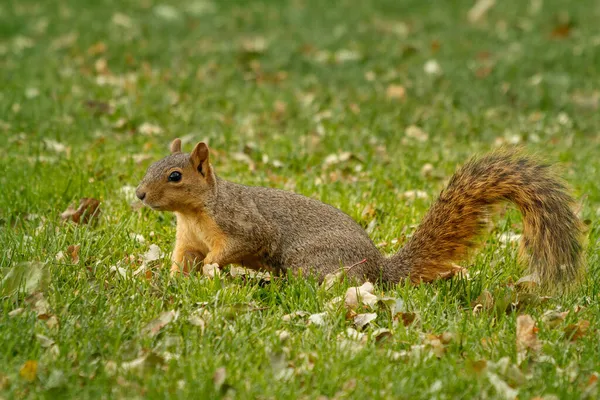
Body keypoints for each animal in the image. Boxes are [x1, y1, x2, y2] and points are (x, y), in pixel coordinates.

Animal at [135, 139, 580, 286]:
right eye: (152, 165)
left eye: (175, 175)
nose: (139, 194)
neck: (195, 213)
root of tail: (379, 268)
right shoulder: (186, 239)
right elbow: (181, 260)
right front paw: (170, 279)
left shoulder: (242, 224)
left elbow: (240, 244)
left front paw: (213, 267)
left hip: (311, 260)